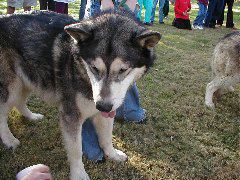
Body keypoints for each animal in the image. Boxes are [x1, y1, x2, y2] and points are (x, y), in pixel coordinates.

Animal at [0, 10, 161, 179]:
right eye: (94, 68)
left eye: (123, 70)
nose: (102, 106)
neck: (80, 70)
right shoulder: (71, 115)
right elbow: (76, 149)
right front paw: (79, 174)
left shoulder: (107, 110)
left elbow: (106, 137)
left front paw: (112, 155)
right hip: (12, 87)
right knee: (3, 113)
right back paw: (9, 139)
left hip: (27, 81)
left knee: (19, 102)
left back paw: (31, 117)